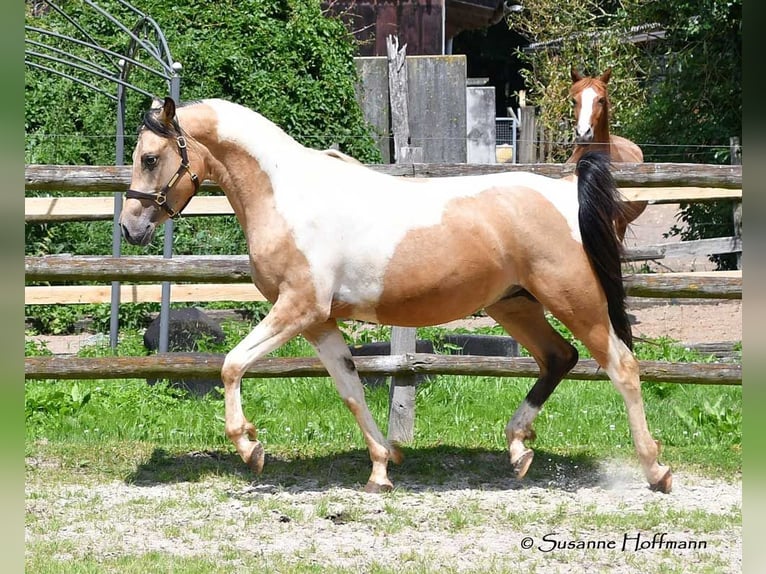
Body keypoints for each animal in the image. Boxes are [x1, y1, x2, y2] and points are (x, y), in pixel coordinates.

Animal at [120, 98, 672, 496]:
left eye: (150, 158)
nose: (129, 227)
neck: (287, 195)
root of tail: (564, 192)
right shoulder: (319, 322)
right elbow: (351, 390)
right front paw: (382, 468)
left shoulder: (298, 308)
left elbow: (232, 364)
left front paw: (249, 448)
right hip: (513, 303)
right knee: (559, 358)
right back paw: (518, 452)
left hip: (574, 301)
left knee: (622, 366)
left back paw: (656, 470)